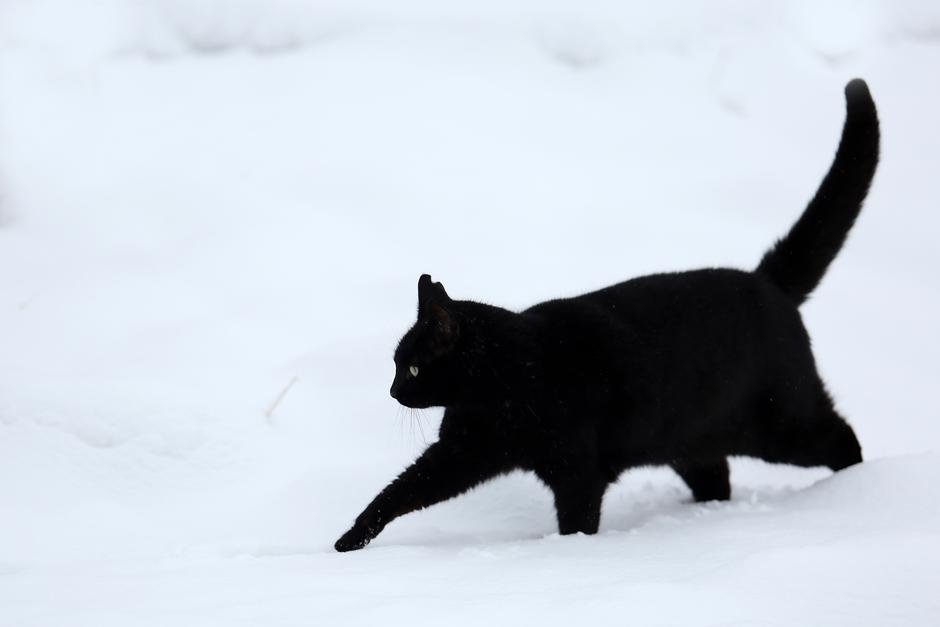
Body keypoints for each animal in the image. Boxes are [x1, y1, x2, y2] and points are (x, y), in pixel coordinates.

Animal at [334, 77, 876, 548]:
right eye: (396, 366)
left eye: (412, 367)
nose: (393, 391)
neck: (506, 379)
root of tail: (766, 280)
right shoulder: (463, 452)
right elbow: (402, 491)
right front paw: (350, 540)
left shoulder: (576, 471)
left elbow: (576, 522)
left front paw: (573, 556)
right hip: (689, 441)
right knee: (718, 477)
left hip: (782, 423)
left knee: (843, 439)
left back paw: (855, 491)